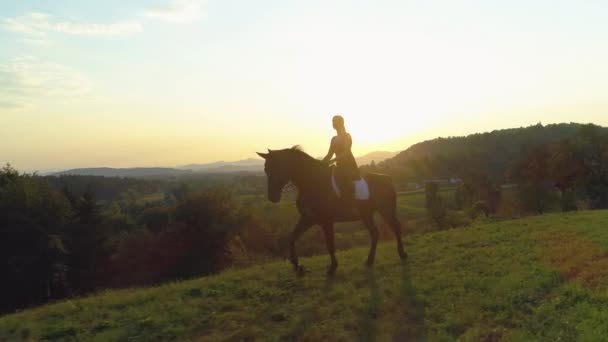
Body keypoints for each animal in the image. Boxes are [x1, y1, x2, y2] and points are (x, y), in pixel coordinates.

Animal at [254, 146, 406, 276]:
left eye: (276, 167)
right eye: (266, 169)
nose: (272, 197)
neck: (312, 182)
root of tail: (386, 178)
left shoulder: (326, 221)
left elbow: (330, 245)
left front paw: (332, 268)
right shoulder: (307, 218)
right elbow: (292, 238)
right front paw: (297, 265)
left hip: (386, 210)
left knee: (396, 227)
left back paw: (402, 254)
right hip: (366, 215)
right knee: (375, 233)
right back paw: (369, 261)